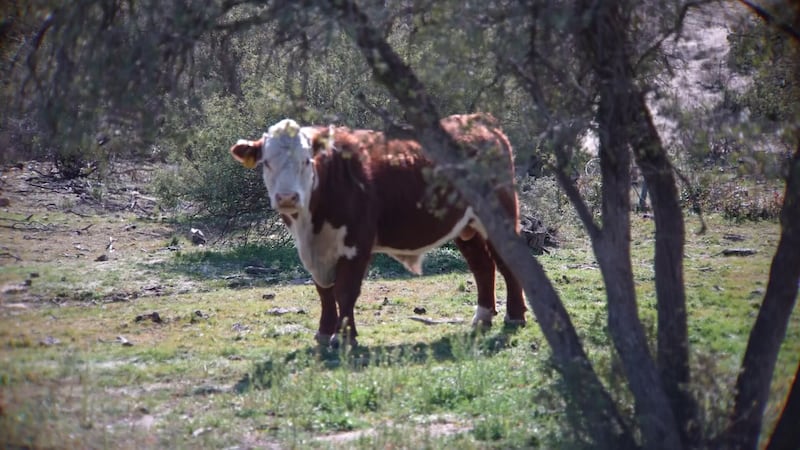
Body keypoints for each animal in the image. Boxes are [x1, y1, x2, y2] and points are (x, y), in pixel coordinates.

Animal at [230, 113, 526, 346]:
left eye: (306, 161)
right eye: (267, 162)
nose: (287, 198)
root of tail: (480, 121)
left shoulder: (357, 242)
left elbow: (345, 291)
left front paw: (345, 337)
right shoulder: (312, 250)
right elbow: (324, 290)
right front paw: (324, 333)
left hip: (500, 216)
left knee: (508, 263)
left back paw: (515, 316)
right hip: (466, 227)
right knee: (483, 267)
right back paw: (482, 318)